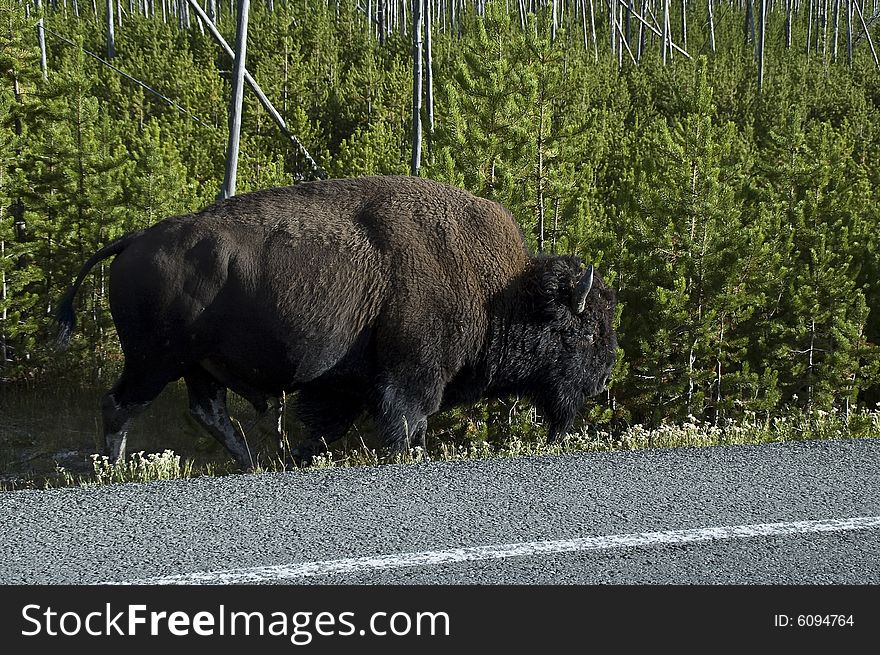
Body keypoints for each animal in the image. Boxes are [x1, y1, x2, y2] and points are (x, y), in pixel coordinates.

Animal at [56, 177, 620, 468]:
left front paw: (306, 458)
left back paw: (252, 463)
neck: (500, 294)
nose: (603, 377)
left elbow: (327, 427)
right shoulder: (408, 379)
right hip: (154, 362)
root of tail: (133, 240)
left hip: (195, 367)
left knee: (207, 412)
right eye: (585, 331)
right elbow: (404, 425)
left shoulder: (345, 386)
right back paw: (113, 471)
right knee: (119, 405)